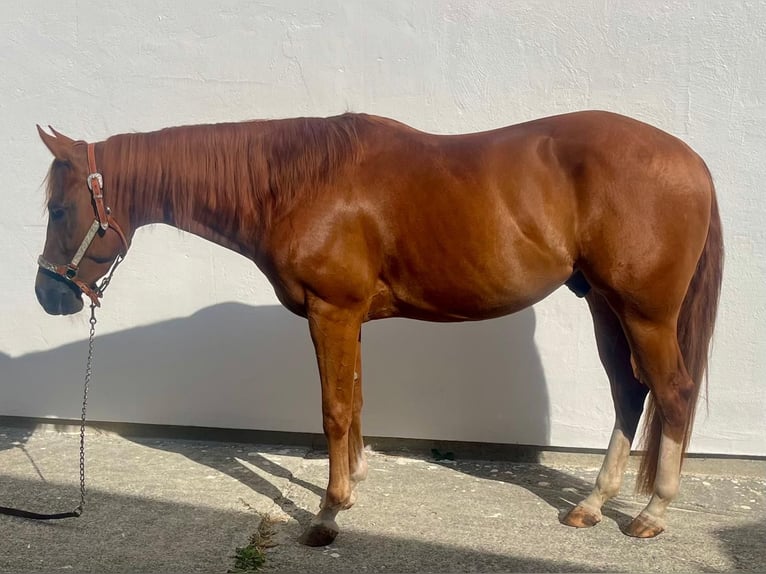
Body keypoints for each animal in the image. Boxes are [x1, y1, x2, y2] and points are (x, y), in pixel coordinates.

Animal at [34, 110, 723, 547]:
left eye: (59, 208)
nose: (48, 295)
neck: (297, 182)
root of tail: (691, 161)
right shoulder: (351, 317)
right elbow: (357, 399)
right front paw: (355, 484)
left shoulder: (331, 310)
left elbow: (335, 408)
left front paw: (328, 514)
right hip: (603, 305)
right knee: (629, 391)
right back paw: (592, 505)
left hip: (644, 312)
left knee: (673, 392)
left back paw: (652, 513)